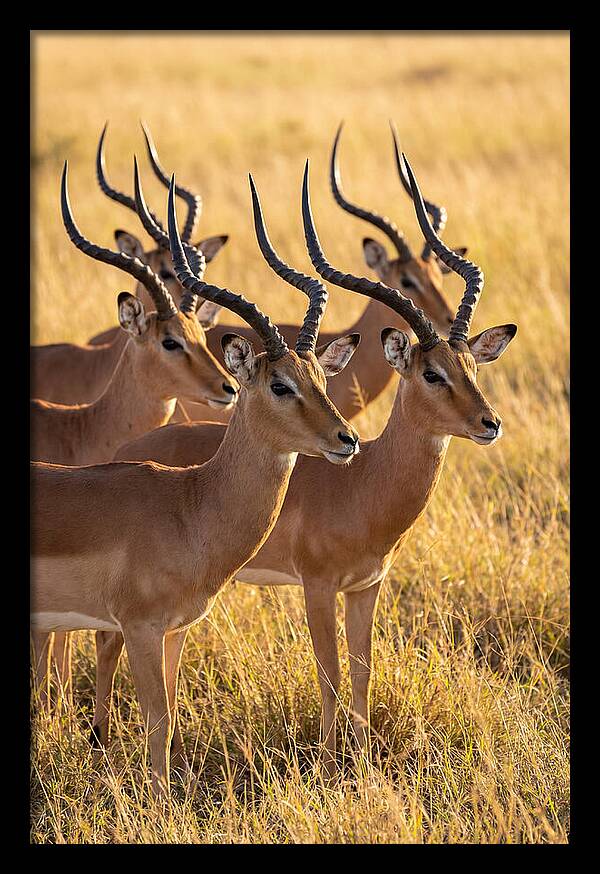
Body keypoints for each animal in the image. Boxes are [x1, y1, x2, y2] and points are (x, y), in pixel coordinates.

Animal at [109, 157, 517, 779]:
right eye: (431, 373)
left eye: (472, 365)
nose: (489, 423)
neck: (364, 482)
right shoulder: (318, 586)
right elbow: (329, 676)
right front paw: (328, 767)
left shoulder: (367, 587)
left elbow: (363, 672)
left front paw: (363, 762)